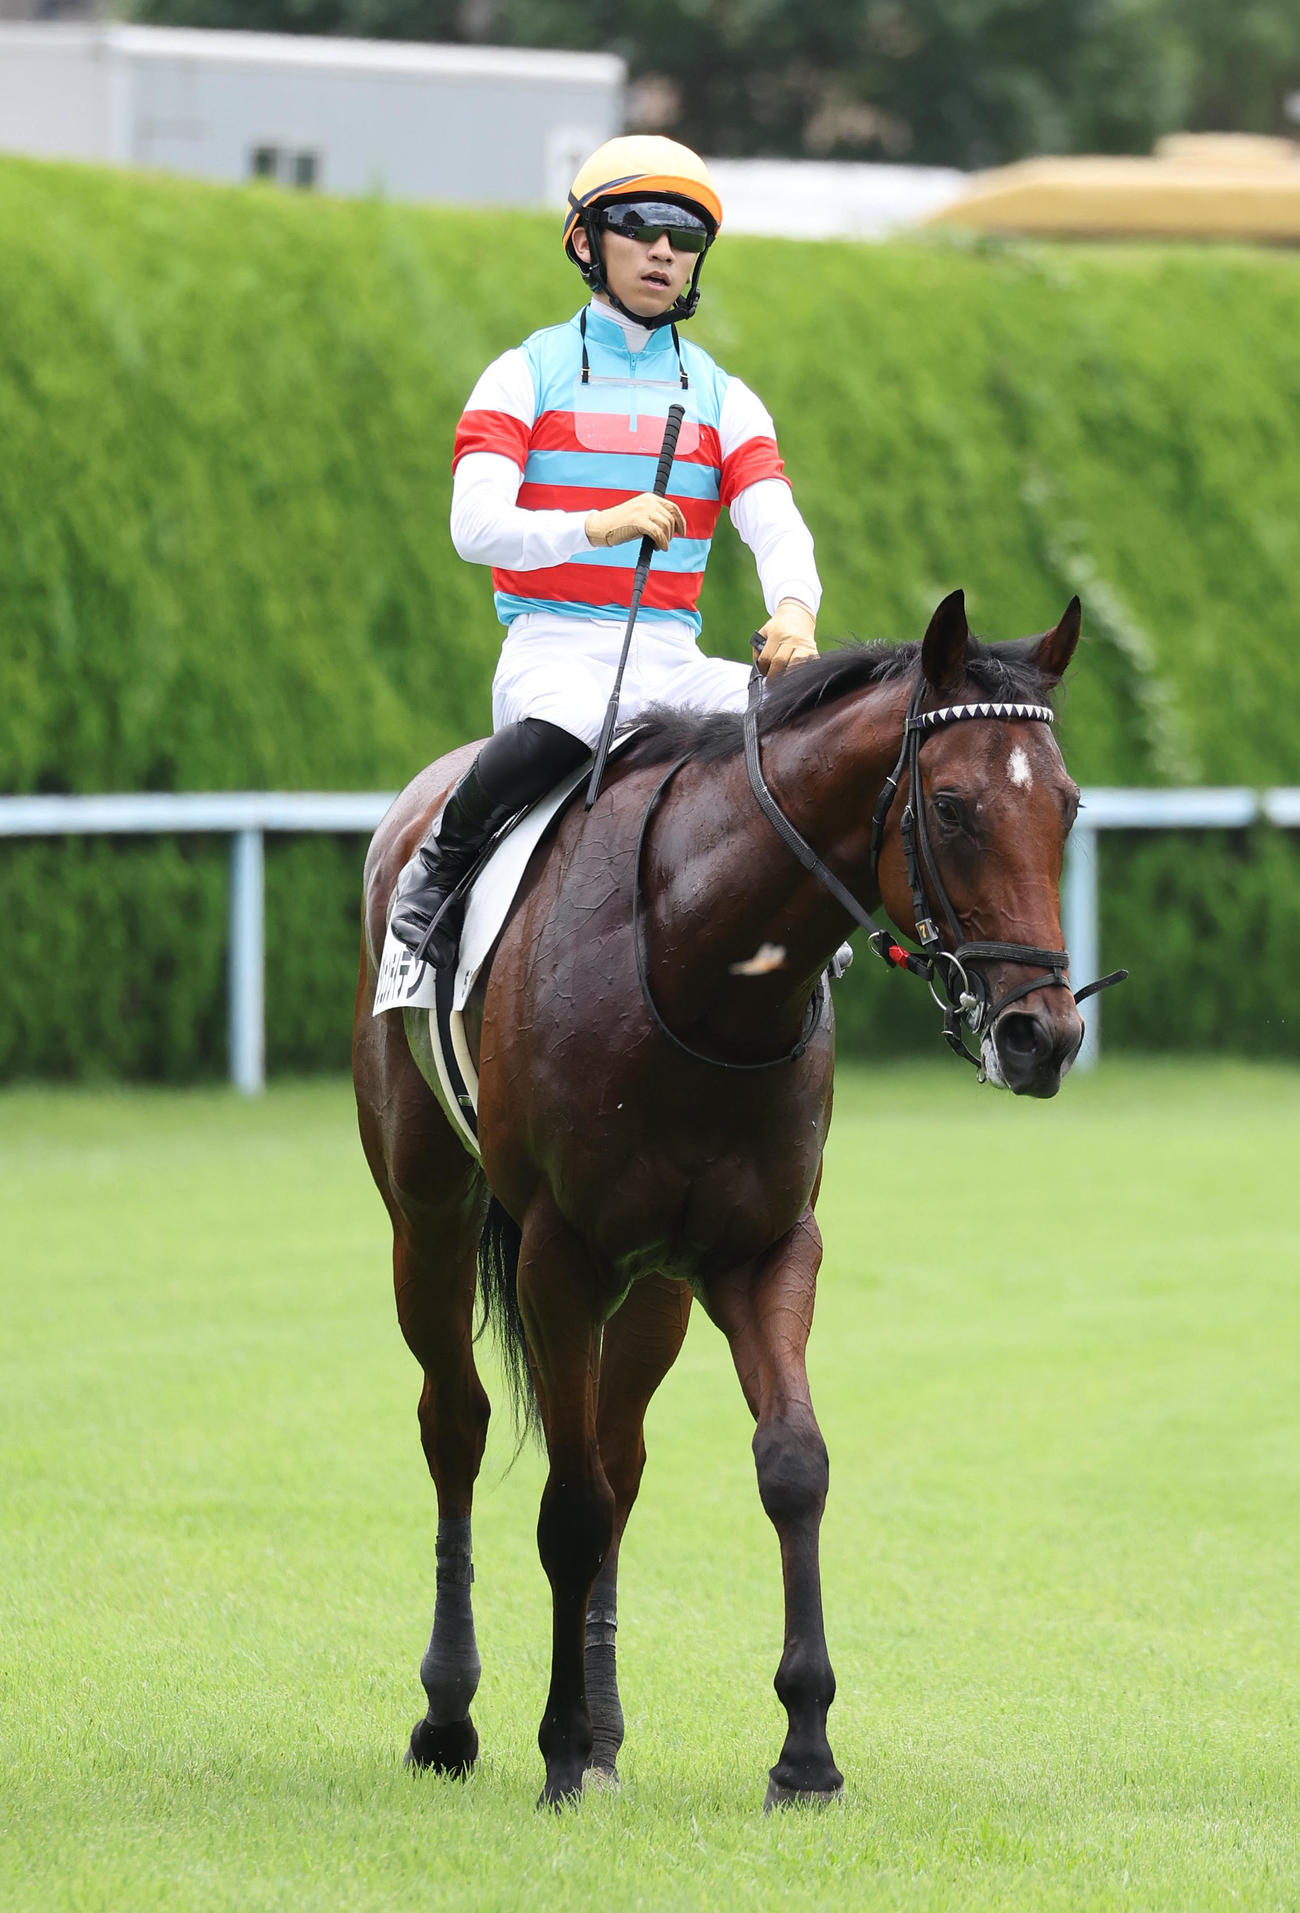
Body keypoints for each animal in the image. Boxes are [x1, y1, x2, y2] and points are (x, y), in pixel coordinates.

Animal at [352, 588, 1088, 1809]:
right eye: (951, 804)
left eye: (1068, 806)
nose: (1045, 1034)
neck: (698, 963)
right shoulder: (560, 1254)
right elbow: (569, 1504)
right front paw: (556, 1746)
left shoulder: (764, 1249)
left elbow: (790, 1464)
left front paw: (804, 1747)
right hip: (430, 1217)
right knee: (456, 1422)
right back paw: (450, 1715)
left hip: (652, 1288)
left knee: (619, 1453)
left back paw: (603, 1727)